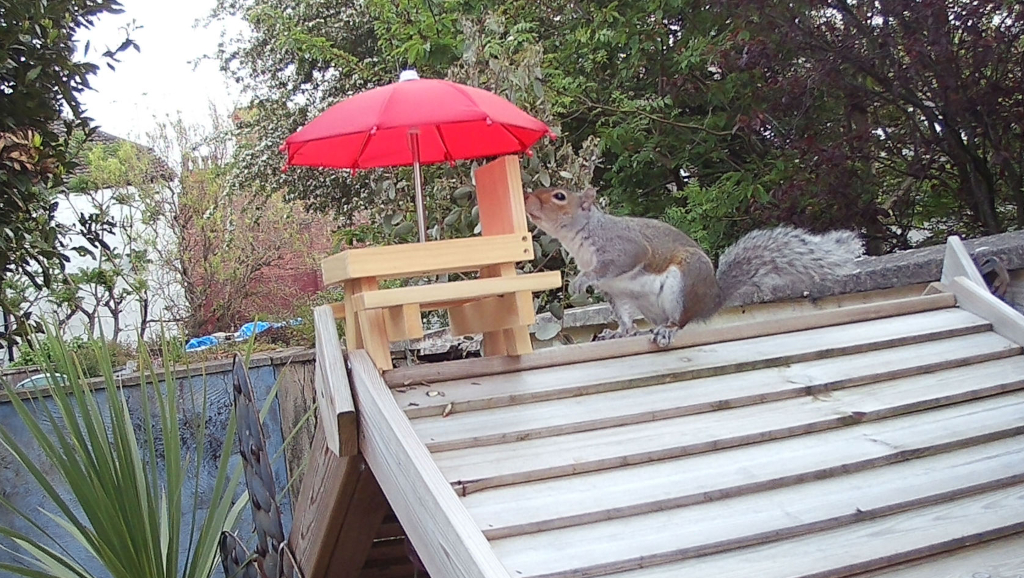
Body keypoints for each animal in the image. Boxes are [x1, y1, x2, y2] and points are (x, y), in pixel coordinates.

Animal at [520, 186, 864, 348]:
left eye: (559, 196)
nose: (526, 197)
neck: (580, 238)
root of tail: (711, 299)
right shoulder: (615, 291)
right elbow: (624, 318)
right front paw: (618, 333)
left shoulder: (624, 248)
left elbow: (624, 259)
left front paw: (582, 280)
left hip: (681, 285)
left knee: (681, 321)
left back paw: (669, 330)